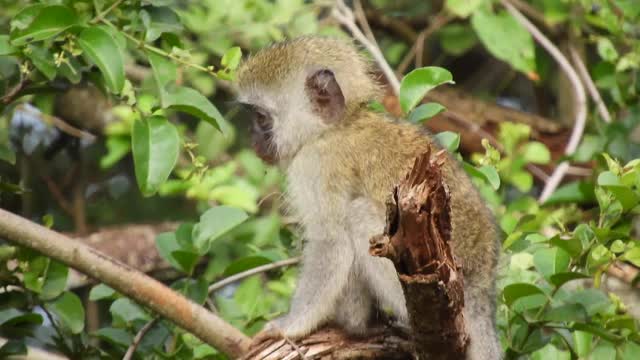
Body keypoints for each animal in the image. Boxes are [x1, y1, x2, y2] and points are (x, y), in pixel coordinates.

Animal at [238, 35, 502, 358]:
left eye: (261, 118)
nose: (253, 139)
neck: (333, 127)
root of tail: (480, 288)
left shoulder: (316, 166)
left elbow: (332, 243)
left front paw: (291, 325)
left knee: (358, 215)